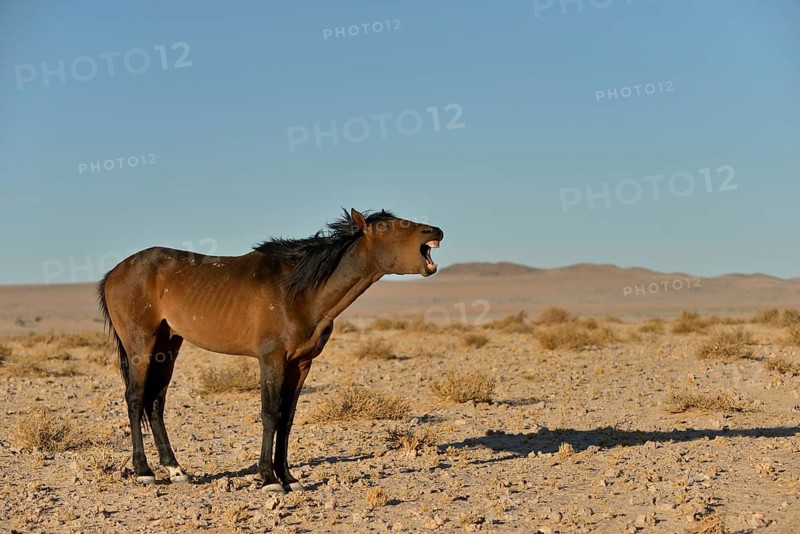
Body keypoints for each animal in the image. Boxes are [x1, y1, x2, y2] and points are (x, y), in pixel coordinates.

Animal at [98, 209, 443, 492]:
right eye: (385, 227)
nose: (436, 231)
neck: (299, 292)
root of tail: (114, 272)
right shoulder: (271, 359)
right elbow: (269, 414)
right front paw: (268, 479)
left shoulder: (301, 364)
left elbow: (286, 419)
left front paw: (288, 477)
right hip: (141, 345)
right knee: (135, 399)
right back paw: (144, 471)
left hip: (167, 346)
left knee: (155, 403)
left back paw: (176, 471)